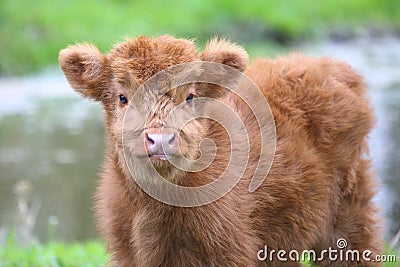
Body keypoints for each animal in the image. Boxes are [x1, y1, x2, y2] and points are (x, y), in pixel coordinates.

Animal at [58, 35, 382, 266]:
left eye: (190, 96)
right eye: (123, 97)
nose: (160, 140)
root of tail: (328, 66)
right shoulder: (127, 253)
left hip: (349, 218)